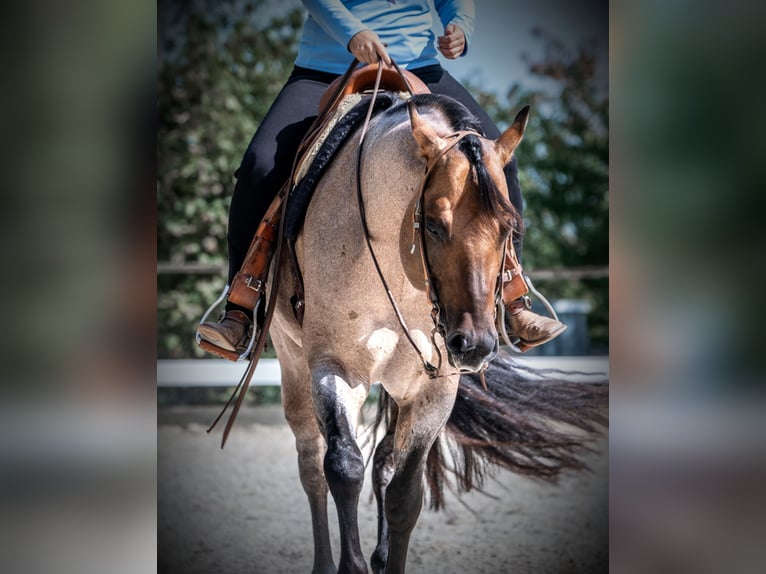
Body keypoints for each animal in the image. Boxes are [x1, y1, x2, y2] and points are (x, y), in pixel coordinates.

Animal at [268, 91, 608, 574]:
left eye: (509, 228)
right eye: (432, 224)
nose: (475, 345)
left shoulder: (435, 387)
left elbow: (405, 495)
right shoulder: (336, 368)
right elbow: (344, 467)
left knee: (383, 459)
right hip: (292, 360)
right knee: (313, 463)